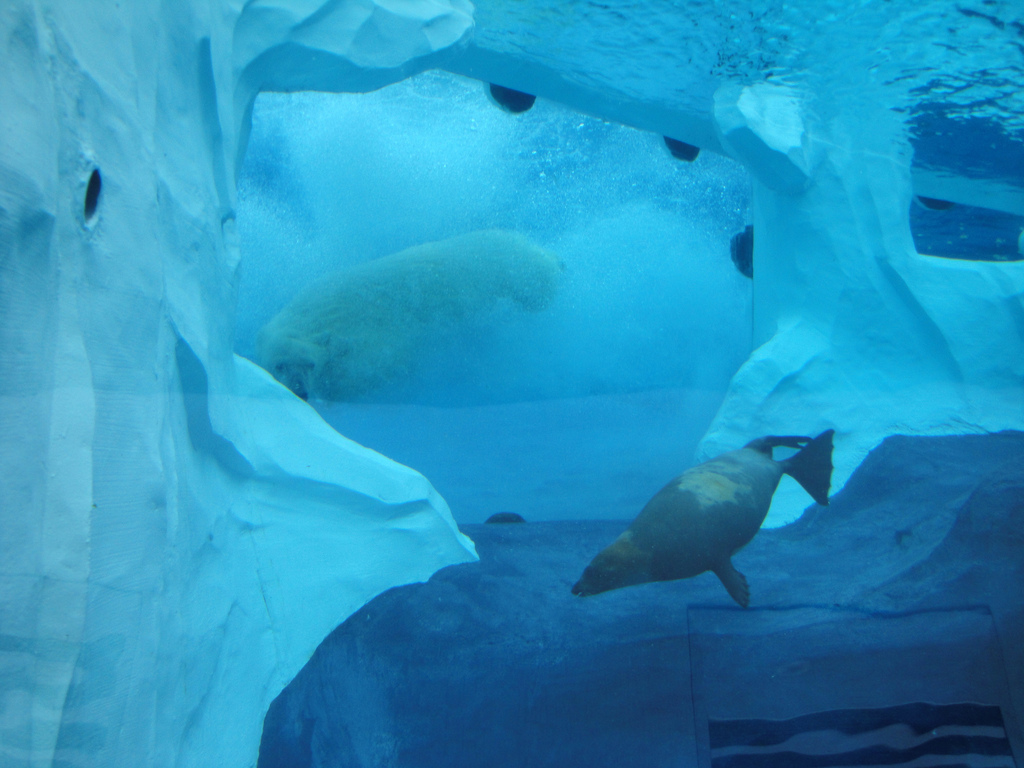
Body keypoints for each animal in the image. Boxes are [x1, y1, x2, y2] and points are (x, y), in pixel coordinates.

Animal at [255, 229, 562, 401]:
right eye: (279, 365)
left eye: (309, 365)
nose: (300, 391)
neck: (311, 317)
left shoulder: (374, 336)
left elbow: (385, 365)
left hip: (512, 271)